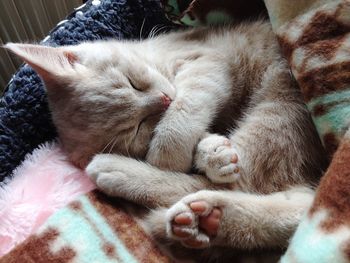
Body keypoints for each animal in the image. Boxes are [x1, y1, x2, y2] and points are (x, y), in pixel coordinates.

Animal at [5, 20, 328, 256]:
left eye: (133, 84)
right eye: (138, 127)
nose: (163, 100)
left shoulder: (206, 60)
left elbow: (185, 112)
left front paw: (185, 152)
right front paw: (210, 151)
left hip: (279, 103)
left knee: (248, 184)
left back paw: (119, 173)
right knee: (293, 203)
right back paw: (207, 219)